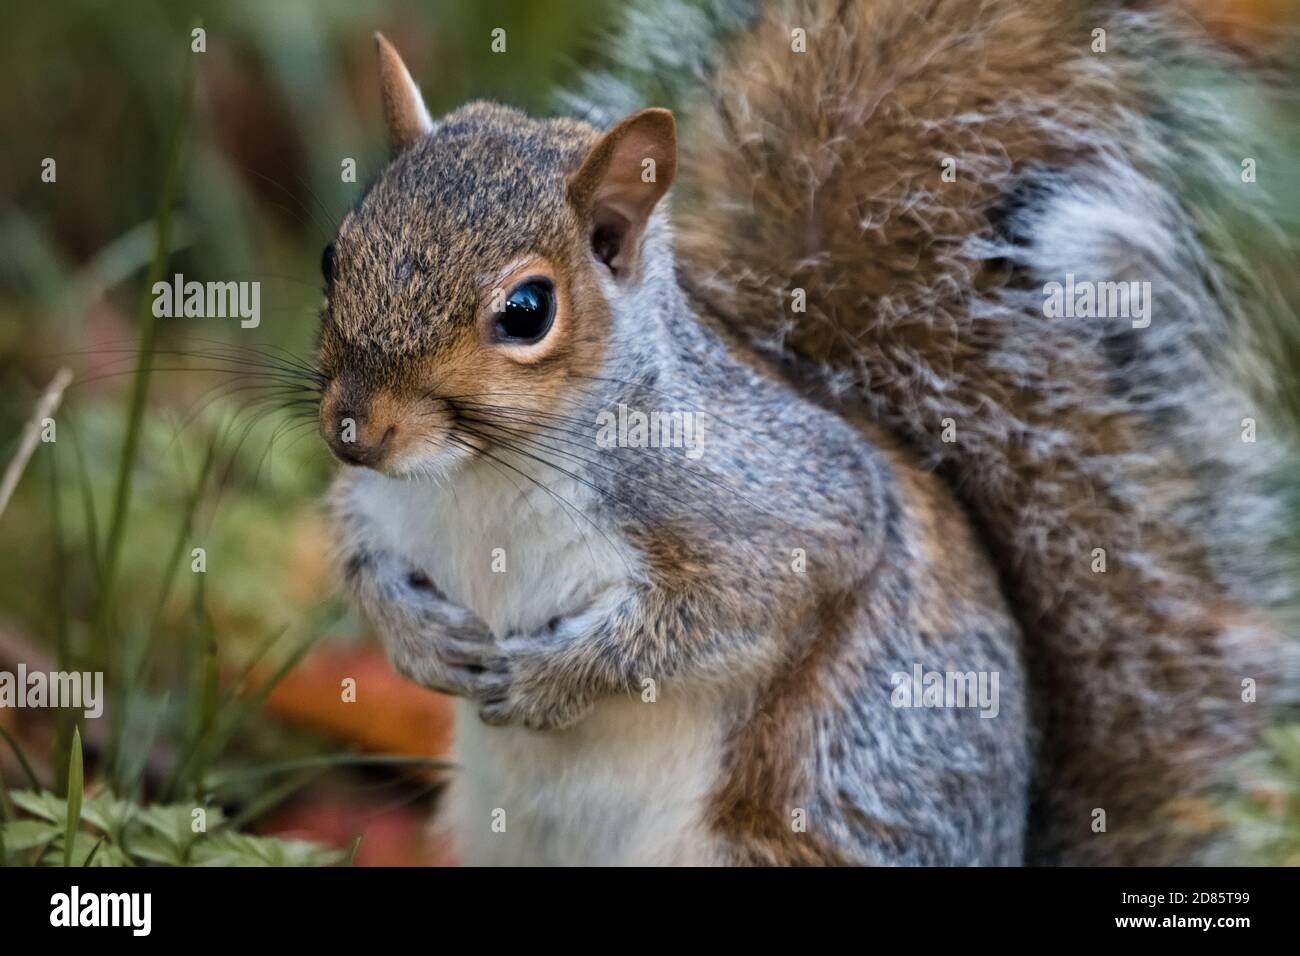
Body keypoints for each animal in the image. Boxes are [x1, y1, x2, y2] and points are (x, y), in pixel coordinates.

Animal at [314, 0, 1289, 868]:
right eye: (334, 255)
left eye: (526, 311)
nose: (353, 432)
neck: (478, 474)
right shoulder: (379, 502)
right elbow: (359, 553)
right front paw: (415, 636)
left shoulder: (774, 503)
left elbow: (730, 610)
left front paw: (556, 679)